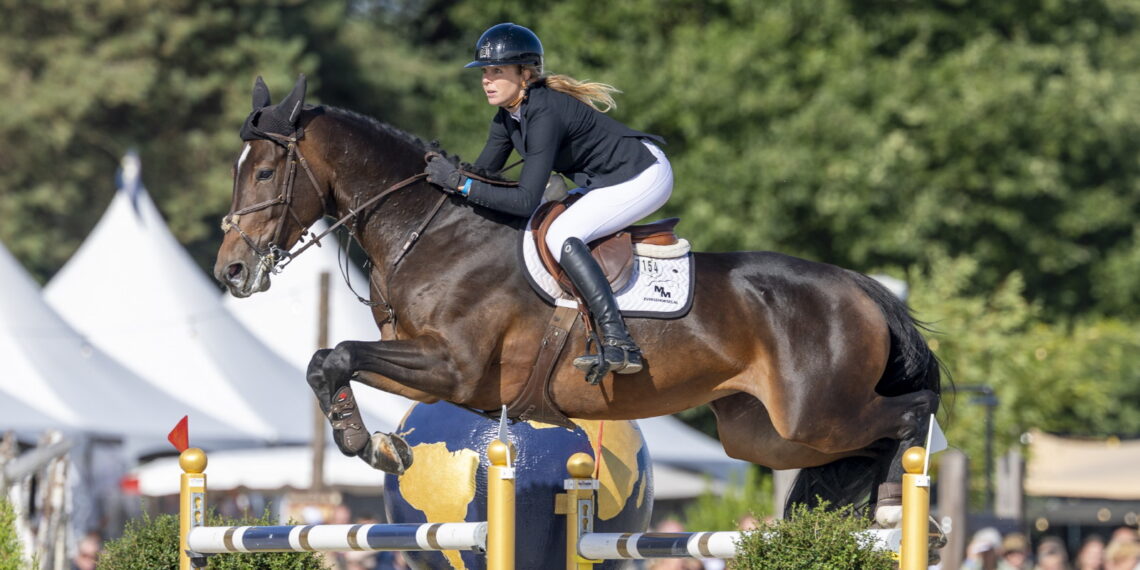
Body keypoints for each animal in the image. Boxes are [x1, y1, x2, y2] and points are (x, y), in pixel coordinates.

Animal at [214, 75, 941, 518]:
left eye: (268, 171)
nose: (232, 271)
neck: (434, 231)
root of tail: (863, 288)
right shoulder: (424, 370)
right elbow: (328, 361)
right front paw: (377, 444)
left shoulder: (451, 366)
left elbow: (334, 355)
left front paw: (369, 445)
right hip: (765, 434)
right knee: (858, 443)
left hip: (816, 414)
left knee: (911, 413)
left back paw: (900, 510)